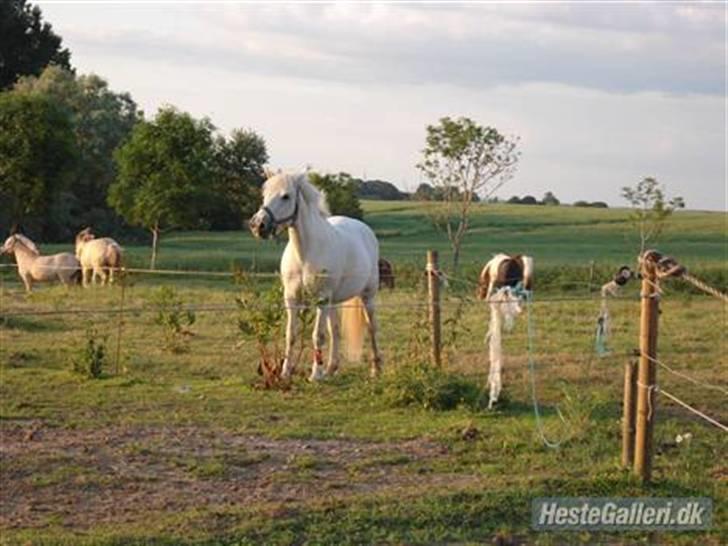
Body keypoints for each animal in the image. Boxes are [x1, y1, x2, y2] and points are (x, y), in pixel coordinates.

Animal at [249, 172, 382, 380]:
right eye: (264, 195)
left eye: (286, 196)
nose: (258, 225)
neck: (305, 253)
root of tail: (365, 230)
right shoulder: (292, 298)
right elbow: (291, 334)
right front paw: (285, 372)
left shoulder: (321, 299)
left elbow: (317, 336)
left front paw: (315, 374)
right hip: (333, 301)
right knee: (335, 331)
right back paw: (331, 368)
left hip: (366, 296)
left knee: (371, 327)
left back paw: (375, 368)